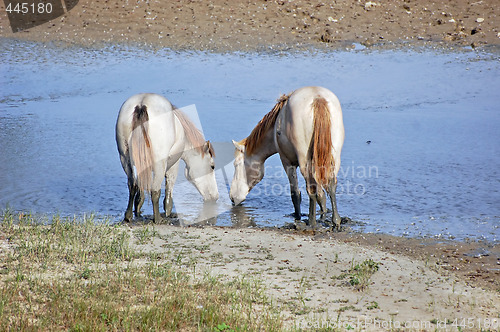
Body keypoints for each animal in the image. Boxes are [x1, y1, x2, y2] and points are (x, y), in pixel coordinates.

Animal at [118, 93, 220, 223]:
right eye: (212, 166)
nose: (215, 196)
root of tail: (142, 104)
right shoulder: (173, 165)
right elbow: (168, 191)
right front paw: (168, 212)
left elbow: (140, 192)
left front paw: (138, 209)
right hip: (159, 165)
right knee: (155, 191)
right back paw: (158, 219)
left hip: (125, 159)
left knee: (132, 185)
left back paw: (128, 216)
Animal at [229, 85, 344, 228]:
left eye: (236, 164)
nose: (232, 197)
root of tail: (318, 98)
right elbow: (321, 193)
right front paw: (323, 214)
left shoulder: (287, 162)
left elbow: (296, 194)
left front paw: (298, 217)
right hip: (333, 157)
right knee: (331, 184)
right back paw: (336, 222)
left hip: (304, 161)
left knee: (310, 188)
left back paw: (311, 222)